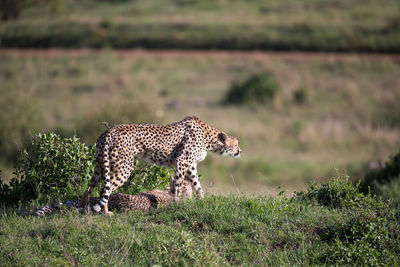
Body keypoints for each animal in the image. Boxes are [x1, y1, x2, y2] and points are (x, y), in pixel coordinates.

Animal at [78, 115, 241, 216]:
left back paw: (82, 208)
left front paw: (202, 201)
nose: (240, 150)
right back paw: (105, 212)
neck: (209, 138)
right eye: (236, 144)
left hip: (100, 165)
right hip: (125, 167)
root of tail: (108, 131)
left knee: (89, 188)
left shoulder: (191, 166)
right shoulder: (181, 161)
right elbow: (178, 185)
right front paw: (176, 204)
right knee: (105, 189)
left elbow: (197, 185)